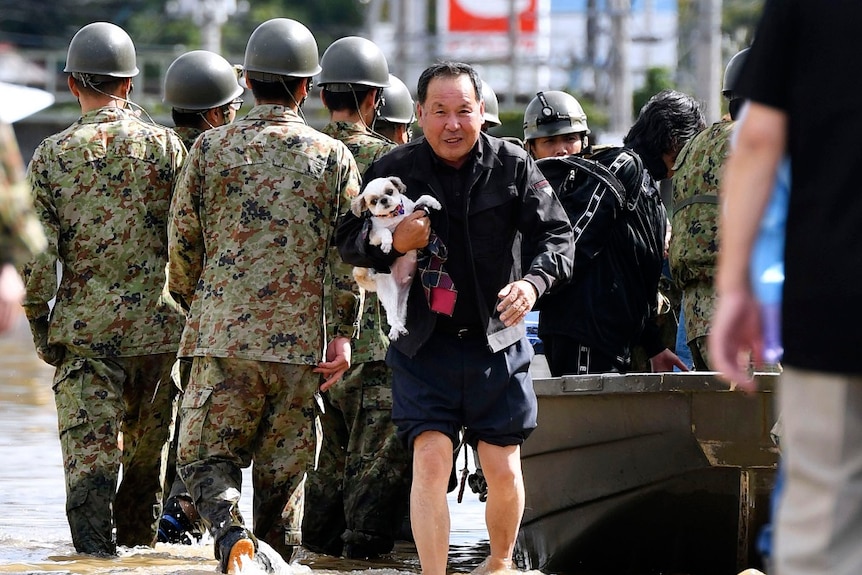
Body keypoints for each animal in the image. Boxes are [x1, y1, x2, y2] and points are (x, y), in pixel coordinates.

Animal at [352, 176, 442, 338]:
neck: (394, 215)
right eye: (374, 201)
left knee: (398, 316)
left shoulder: (412, 210)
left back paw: (397, 330)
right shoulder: (373, 237)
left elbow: (421, 198)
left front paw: (434, 202)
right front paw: (387, 244)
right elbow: (386, 232)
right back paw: (398, 328)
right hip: (389, 293)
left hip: (402, 301)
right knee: (391, 317)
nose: (383, 200)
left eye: (389, 191)